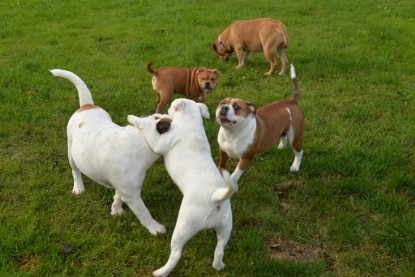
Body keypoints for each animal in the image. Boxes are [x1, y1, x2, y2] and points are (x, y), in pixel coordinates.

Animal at [50, 69, 172, 235]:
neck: (141, 139)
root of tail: (87, 105)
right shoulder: (132, 196)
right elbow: (144, 213)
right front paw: (155, 228)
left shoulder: (124, 186)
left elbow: (118, 196)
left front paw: (115, 209)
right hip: (71, 153)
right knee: (75, 171)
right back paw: (78, 187)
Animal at [128, 98, 237, 276]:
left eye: (172, 106)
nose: (167, 110)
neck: (191, 120)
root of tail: (216, 197)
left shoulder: (158, 141)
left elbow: (147, 127)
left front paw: (133, 118)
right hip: (225, 228)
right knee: (219, 251)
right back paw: (219, 266)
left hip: (183, 228)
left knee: (176, 254)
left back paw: (161, 272)